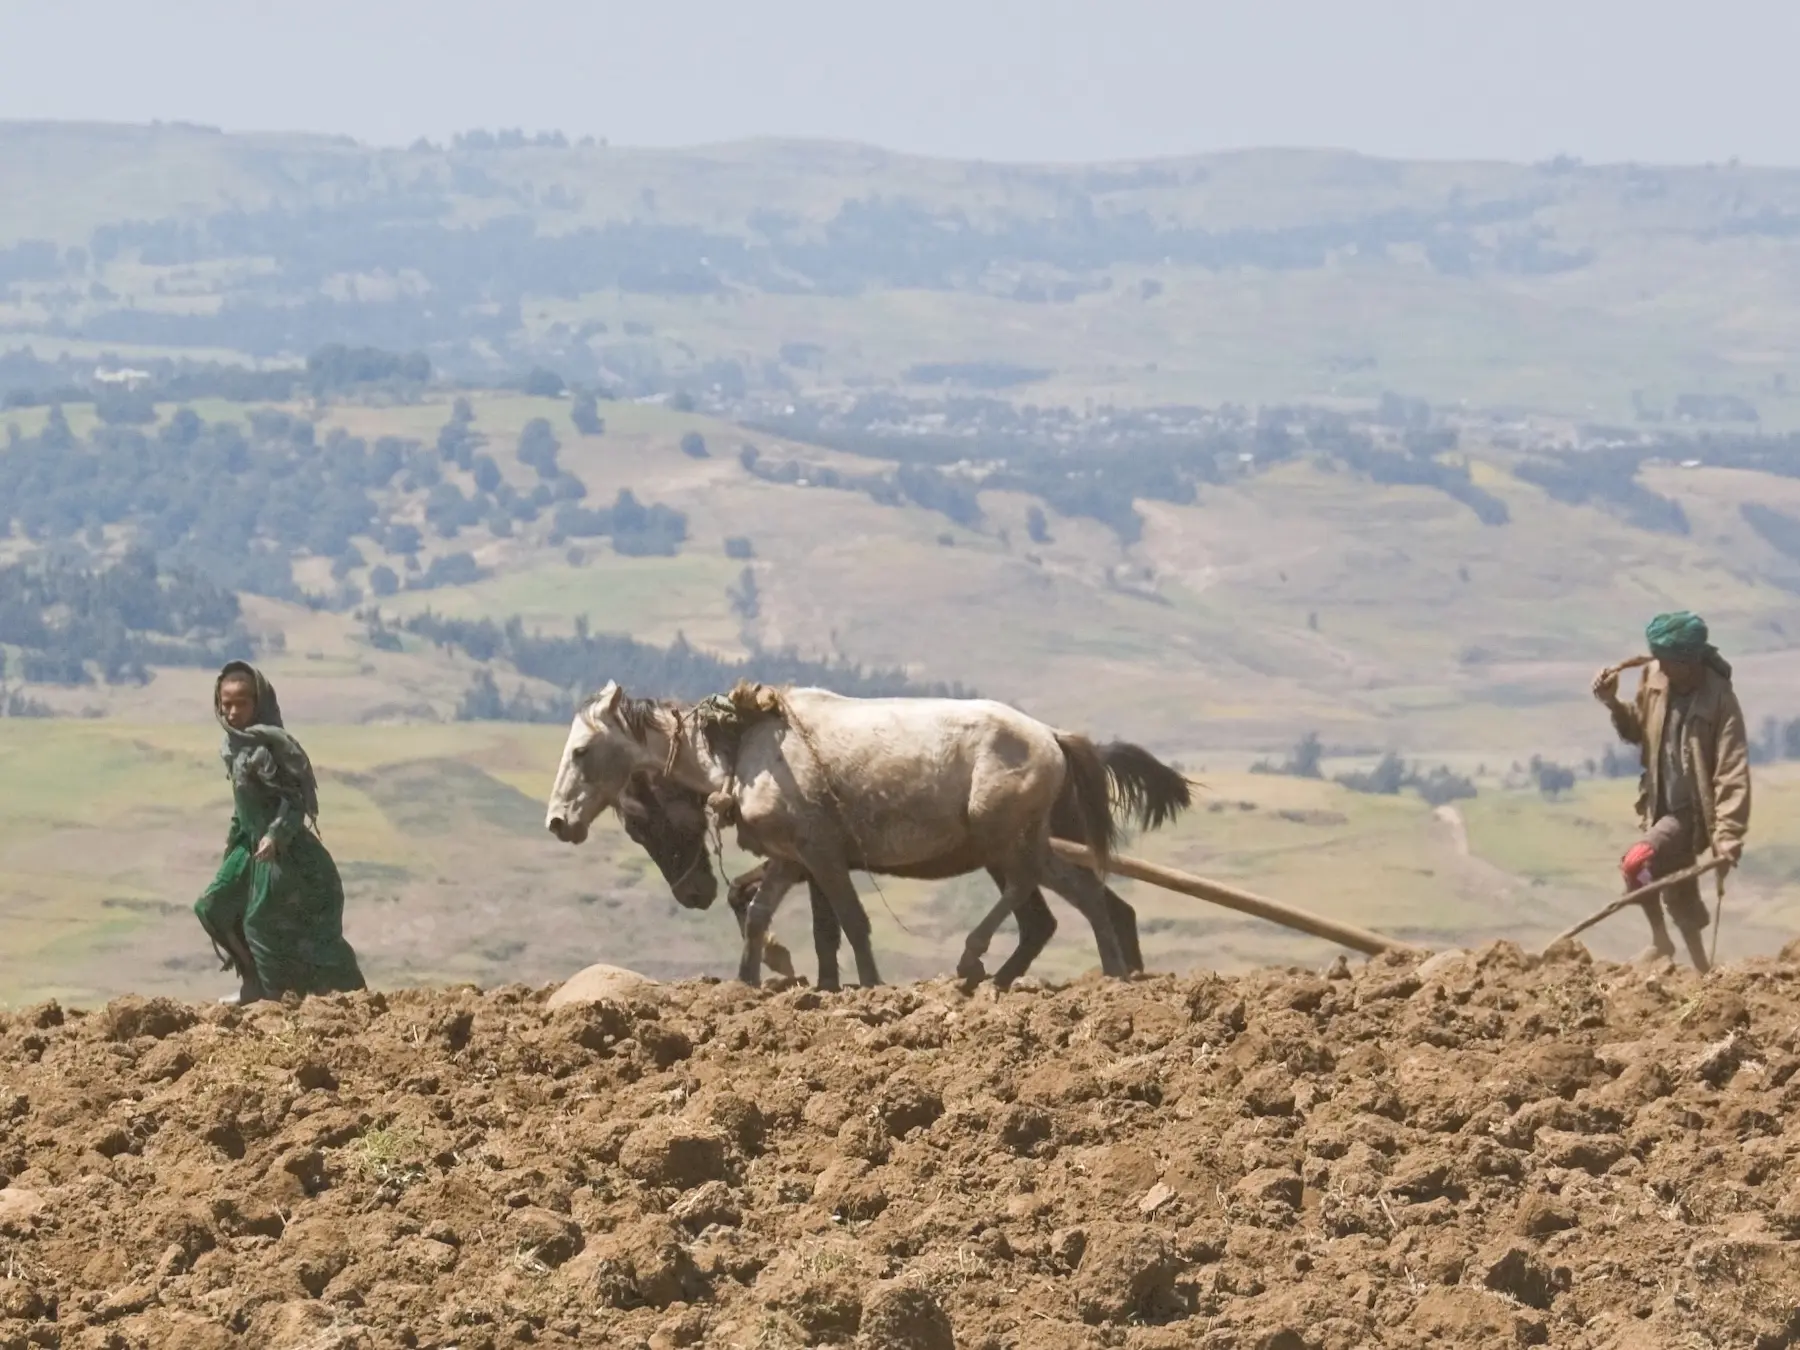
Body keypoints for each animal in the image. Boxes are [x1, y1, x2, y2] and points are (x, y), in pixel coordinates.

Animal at [543, 687, 1137, 986]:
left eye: (581, 751)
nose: (558, 823)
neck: (741, 750)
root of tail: (1053, 737)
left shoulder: (822, 854)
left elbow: (850, 922)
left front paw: (869, 986)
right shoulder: (790, 858)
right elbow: (759, 915)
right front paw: (748, 983)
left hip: (1001, 837)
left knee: (1032, 889)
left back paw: (974, 962)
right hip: (1021, 840)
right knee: (1080, 894)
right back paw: (1110, 975)